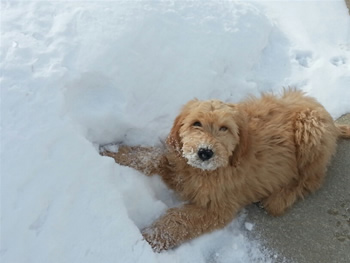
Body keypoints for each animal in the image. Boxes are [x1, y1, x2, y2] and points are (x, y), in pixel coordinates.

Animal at [100, 89, 350, 253]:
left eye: (224, 128)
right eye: (196, 123)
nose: (204, 152)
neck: (203, 171)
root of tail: (330, 119)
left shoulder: (218, 207)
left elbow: (177, 219)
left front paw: (146, 239)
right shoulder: (178, 161)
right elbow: (151, 156)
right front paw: (112, 152)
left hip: (311, 131)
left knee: (311, 179)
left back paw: (280, 198)